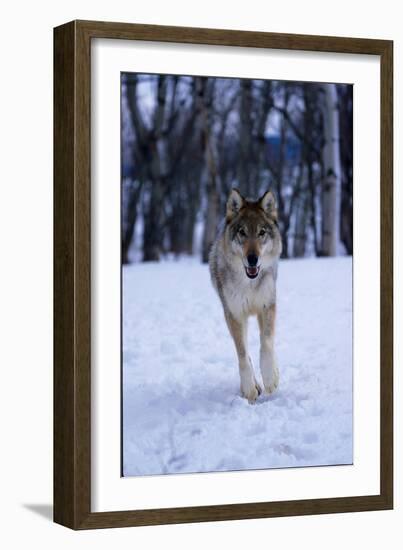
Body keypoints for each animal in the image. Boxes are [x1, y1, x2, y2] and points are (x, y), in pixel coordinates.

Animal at [210, 191, 282, 406]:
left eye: (261, 232)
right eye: (242, 232)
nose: (252, 258)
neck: (249, 284)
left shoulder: (267, 306)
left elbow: (266, 343)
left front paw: (271, 378)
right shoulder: (234, 314)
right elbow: (242, 354)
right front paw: (249, 388)